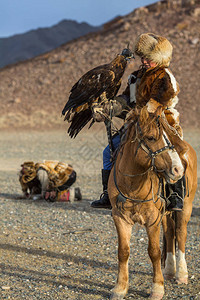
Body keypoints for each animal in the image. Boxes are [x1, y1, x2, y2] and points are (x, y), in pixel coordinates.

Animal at [108, 108, 197, 300]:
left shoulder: (152, 220)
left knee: (180, 233)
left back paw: (181, 274)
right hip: (166, 213)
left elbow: (154, 252)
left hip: (185, 207)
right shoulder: (120, 218)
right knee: (170, 233)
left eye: (169, 136)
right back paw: (169, 271)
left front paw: (157, 288)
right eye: (150, 138)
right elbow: (123, 251)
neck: (133, 185)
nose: (178, 169)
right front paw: (120, 287)